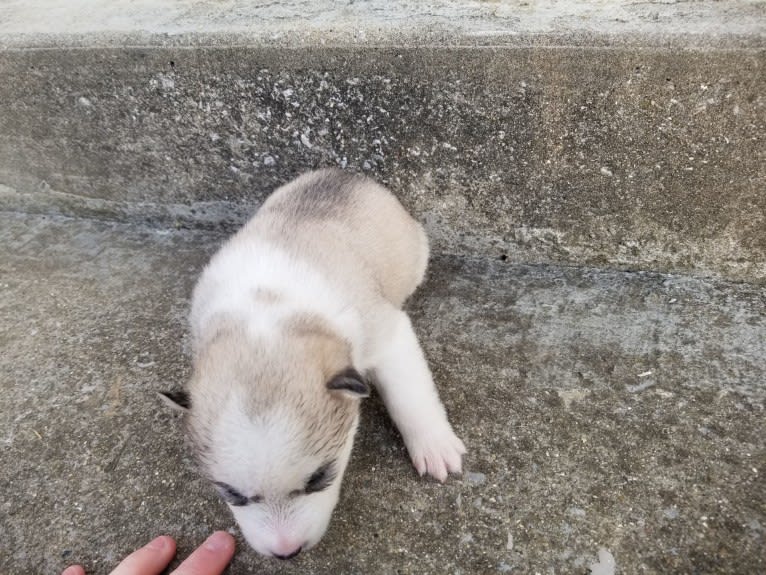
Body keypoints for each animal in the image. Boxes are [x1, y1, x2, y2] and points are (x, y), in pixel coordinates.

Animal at [164, 169, 468, 560]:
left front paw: (434, 445)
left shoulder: (389, 336)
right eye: (232, 494)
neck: (265, 316)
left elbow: (409, 397)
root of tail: (348, 173)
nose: (286, 552)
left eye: (321, 478)